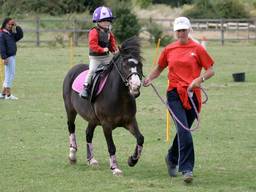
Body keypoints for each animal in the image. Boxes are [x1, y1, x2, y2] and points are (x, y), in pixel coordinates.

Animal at [62, 36, 144, 176]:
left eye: (140, 65)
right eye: (124, 65)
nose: (136, 87)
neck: (120, 97)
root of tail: (73, 69)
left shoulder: (130, 121)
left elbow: (140, 138)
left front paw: (132, 160)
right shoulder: (106, 125)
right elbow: (111, 147)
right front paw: (115, 168)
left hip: (93, 119)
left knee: (88, 133)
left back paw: (91, 160)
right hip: (71, 110)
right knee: (71, 127)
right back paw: (72, 155)